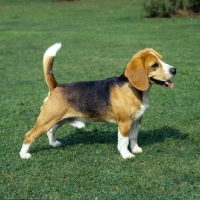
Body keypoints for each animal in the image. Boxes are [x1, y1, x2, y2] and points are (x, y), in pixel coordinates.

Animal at [19, 43, 176, 159]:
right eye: (154, 65)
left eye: (162, 59)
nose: (174, 70)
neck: (133, 89)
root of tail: (56, 86)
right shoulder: (124, 122)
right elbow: (124, 140)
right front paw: (126, 155)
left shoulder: (137, 120)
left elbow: (134, 136)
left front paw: (136, 149)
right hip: (46, 120)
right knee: (29, 135)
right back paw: (24, 154)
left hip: (59, 119)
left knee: (50, 131)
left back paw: (53, 143)